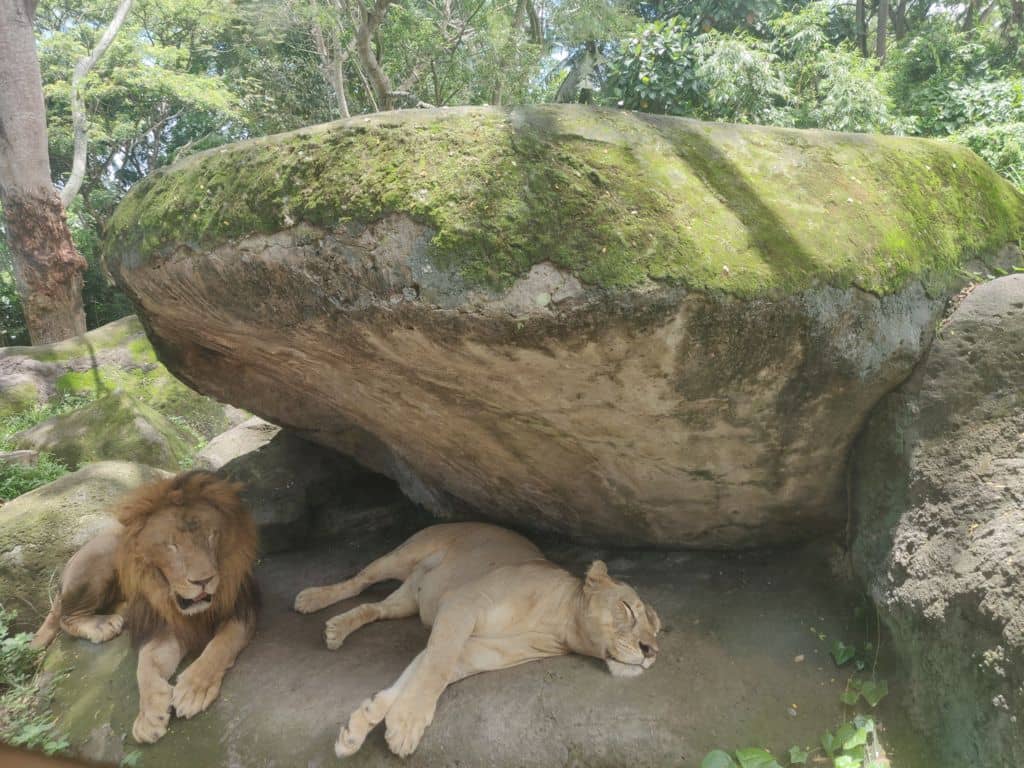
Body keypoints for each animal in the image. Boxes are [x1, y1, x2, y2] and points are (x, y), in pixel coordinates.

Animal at [31, 473, 258, 741]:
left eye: (211, 536)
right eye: (172, 546)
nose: (203, 581)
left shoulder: (242, 610)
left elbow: (219, 647)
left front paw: (193, 690)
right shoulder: (164, 628)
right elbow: (146, 664)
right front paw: (148, 716)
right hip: (101, 559)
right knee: (66, 617)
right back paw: (103, 624)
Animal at [292, 524, 659, 757]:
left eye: (656, 629)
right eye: (628, 608)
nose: (651, 651)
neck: (562, 624)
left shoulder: (476, 650)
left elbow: (420, 674)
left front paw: (362, 722)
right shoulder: (462, 605)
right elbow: (436, 669)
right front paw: (406, 724)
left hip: (408, 600)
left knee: (376, 608)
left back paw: (337, 628)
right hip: (403, 555)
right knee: (359, 581)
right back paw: (312, 599)